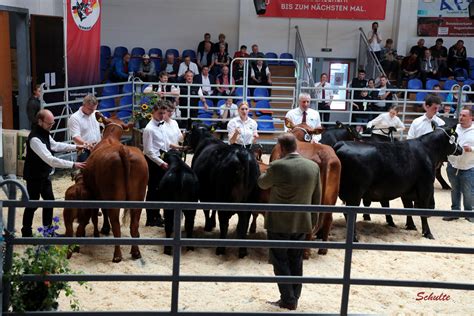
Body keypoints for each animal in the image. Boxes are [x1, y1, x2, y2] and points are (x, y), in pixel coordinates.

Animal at [184, 122, 260, 258]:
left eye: (189, 133)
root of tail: (241, 153)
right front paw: (212, 223)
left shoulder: (205, 193)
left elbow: (207, 210)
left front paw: (208, 225)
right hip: (250, 200)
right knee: (244, 222)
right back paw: (243, 251)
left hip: (224, 198)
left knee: (225, 222)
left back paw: (220, 249)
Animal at [336, 127, 464, 241]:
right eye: (456, 137)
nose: (461, 149)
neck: (427, 150)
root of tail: (342, 144)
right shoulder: (425, 187)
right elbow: (422, 211)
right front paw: (427, 233)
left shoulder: (406, 190)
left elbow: (408, 208)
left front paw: (411, 226)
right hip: (355, 193)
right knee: (349, 214)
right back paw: (354, 237)